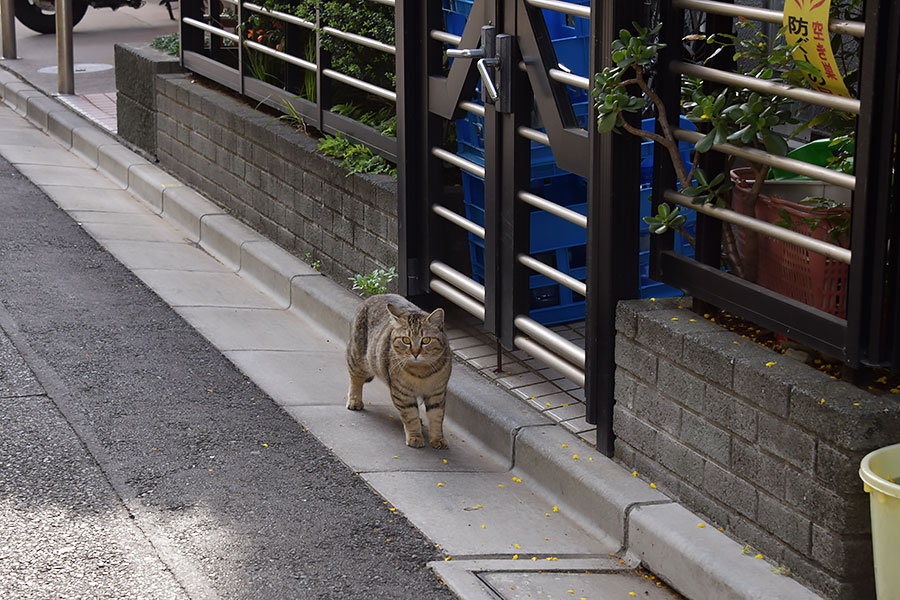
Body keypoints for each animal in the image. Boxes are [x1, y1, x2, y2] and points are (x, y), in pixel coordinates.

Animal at [348, 292, 454, 448]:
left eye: (426, 340)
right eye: (406, 340)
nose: (415, 353)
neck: (422, 372)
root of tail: (374, 296)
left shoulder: (437, 393)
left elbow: (437, 416)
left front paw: (437, 438)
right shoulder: (402, 394)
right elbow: (410, 416)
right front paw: (415, 436)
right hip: (358, 357)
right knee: (355, 378)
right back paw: (355, 400)